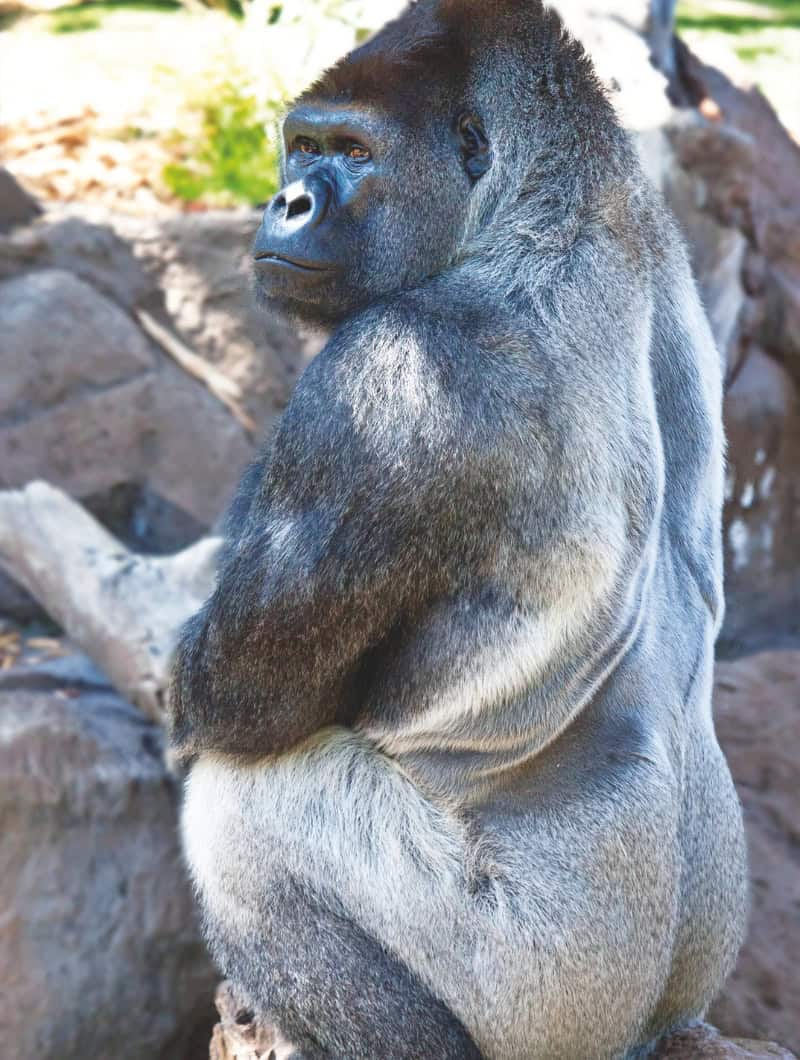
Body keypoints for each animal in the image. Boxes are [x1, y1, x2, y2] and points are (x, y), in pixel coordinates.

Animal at [168, 2, 749, 1057]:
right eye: (301, 145)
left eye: (352, 152)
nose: (286, 203)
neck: (556, 204)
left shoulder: (390, 371)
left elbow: (233, 702)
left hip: (551, 996)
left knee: (241, 813)